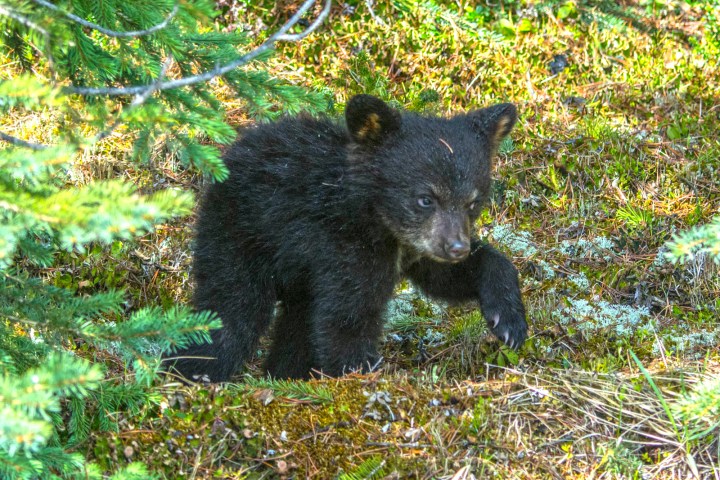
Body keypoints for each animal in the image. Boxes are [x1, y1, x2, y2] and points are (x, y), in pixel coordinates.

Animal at [169, 94, 527, 381]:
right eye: (426, 198)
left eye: (473, 201)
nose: (456, 247)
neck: (374, 220)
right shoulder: (344, 247)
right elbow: (347, 319)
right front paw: (360, 376)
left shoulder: (416, 247)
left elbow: (446, 278)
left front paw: (509, 320)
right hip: (241, 234)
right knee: (232, 308)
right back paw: (197, 371)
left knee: (297, 325)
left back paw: (283, 375)